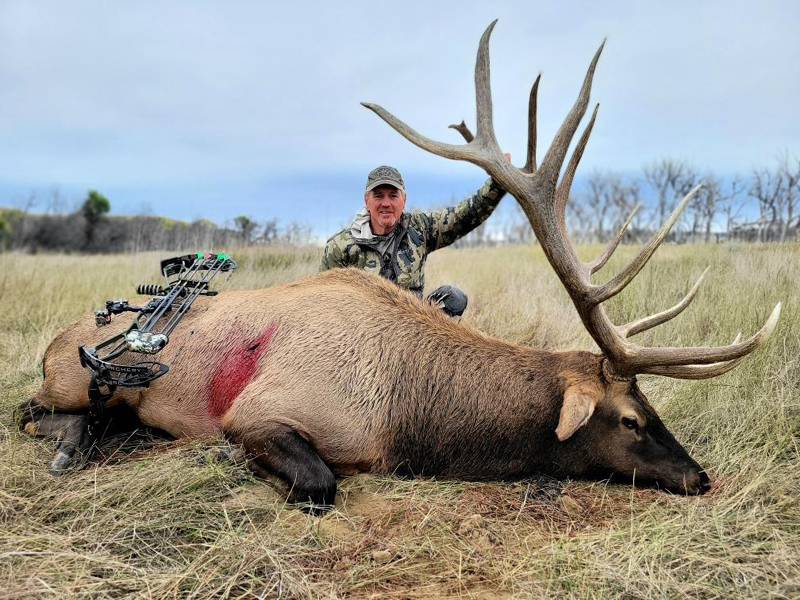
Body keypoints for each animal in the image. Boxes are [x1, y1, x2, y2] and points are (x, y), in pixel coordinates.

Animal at [20, 24, 780, 510]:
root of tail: (55, 341)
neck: (409, 416)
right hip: (76, 379)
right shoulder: (260, 413)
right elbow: (319, 483)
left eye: (652, 407)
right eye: (629, 418)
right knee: (33, 410)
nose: (699, 476)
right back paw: (77, 441)